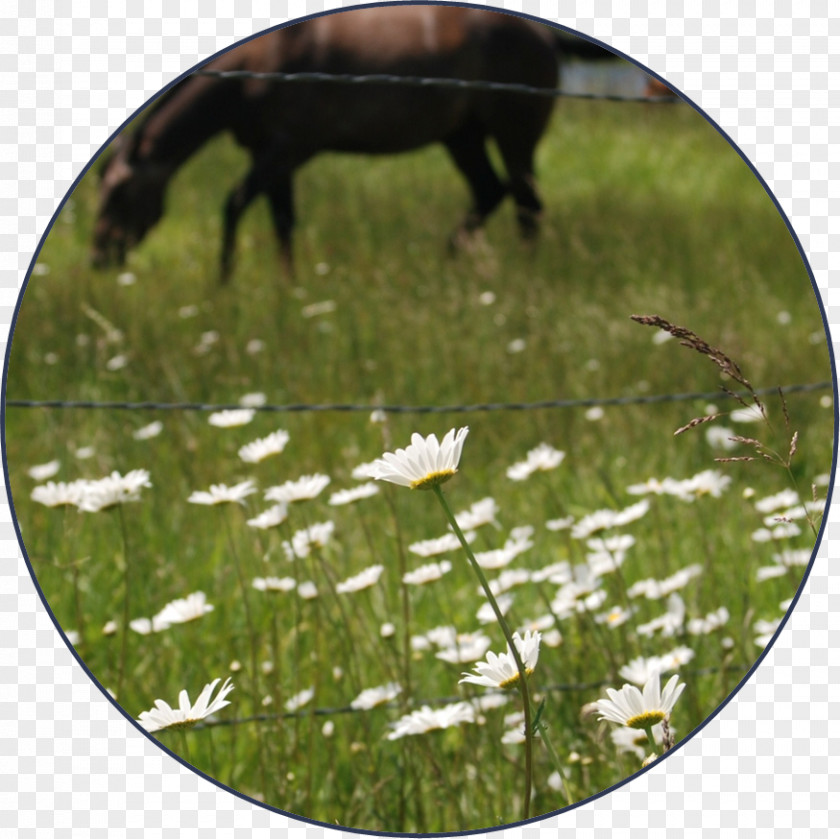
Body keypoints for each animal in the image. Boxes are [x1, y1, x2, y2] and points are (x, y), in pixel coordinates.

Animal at [88, 4, 604, 280]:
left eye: (117, 194)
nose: (98, 256)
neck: (260, 65)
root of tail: (544, 36)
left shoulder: (287, 149)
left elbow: (234, 204)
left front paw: (224, 284)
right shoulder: (274, 157)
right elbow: (282, 221)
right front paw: (288, 288)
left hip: (515, 135)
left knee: (526, 205)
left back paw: (522, 274)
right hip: (463, 137)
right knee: (490, 193)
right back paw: (446, 263)